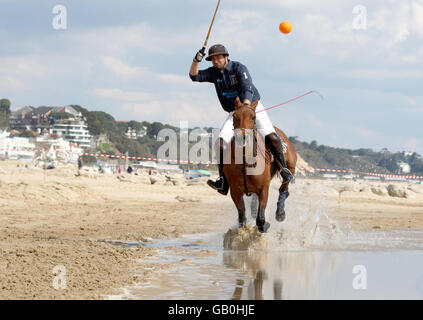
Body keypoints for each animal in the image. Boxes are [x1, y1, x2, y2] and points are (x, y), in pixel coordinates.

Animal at [222, 99, 298, 232]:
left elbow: (260, 219)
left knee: (284, 187)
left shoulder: (263, 189)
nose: (242, 137)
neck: (245, 161)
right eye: (234, 116)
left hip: (291, 167)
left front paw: (265, 225)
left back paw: (280, 213)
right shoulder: (235, 192)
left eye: (253, 117)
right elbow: (242, 218)